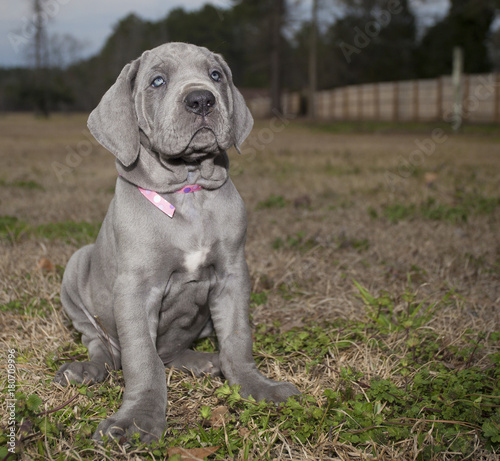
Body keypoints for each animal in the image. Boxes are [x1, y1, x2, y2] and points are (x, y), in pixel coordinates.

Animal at [53, 42, 298, 442]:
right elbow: (143, 359)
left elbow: (237, 338)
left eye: (216, 75)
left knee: (169, 353)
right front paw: (137, 420)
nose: (201, 100)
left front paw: (255, 386)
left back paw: (203, 361)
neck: (189, 189)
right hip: (76, 269)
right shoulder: (136, 289)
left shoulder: (233, 275)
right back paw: (86, 370)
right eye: (157, 81)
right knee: (102, 346)